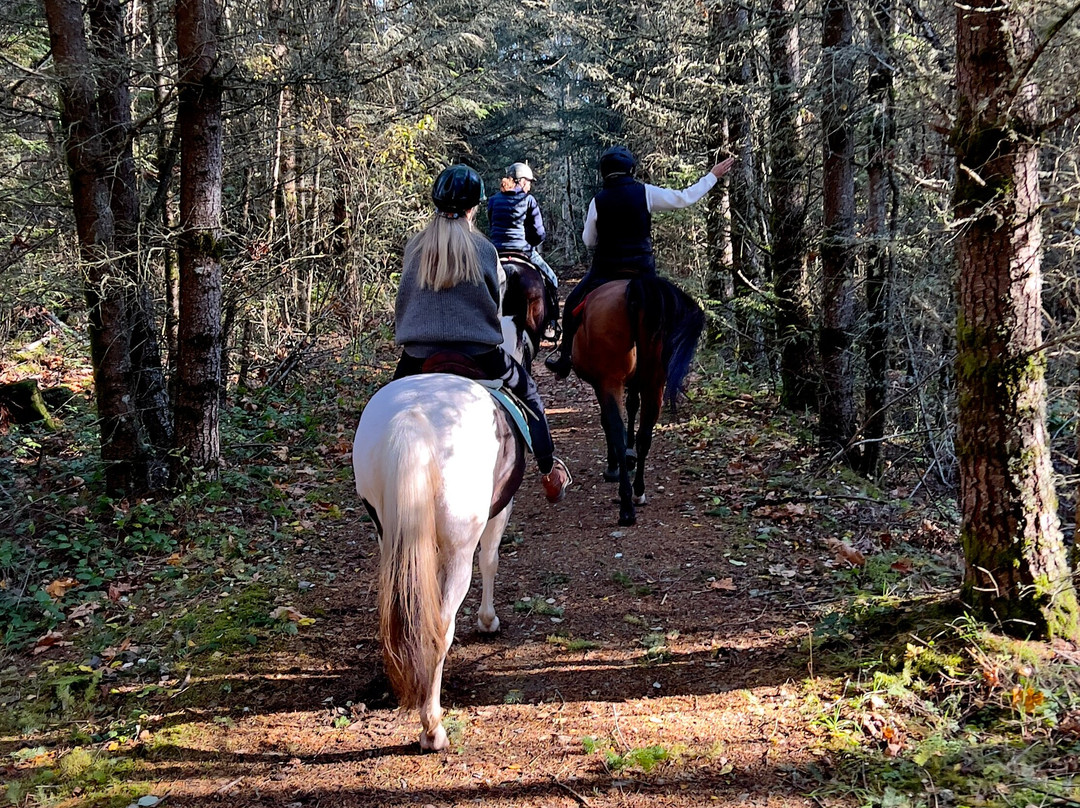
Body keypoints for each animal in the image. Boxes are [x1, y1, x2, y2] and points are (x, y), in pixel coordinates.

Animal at [570, 274, 704, 527]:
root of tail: (635, 290)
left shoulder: (602, 383)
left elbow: (609, 421)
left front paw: (613, 465)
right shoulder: (635, 382)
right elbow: (633, 407)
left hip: (611, 380)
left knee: (615, 428)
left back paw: (626, 506)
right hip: (654, 381)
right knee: (645, 434)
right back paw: (638, 491)